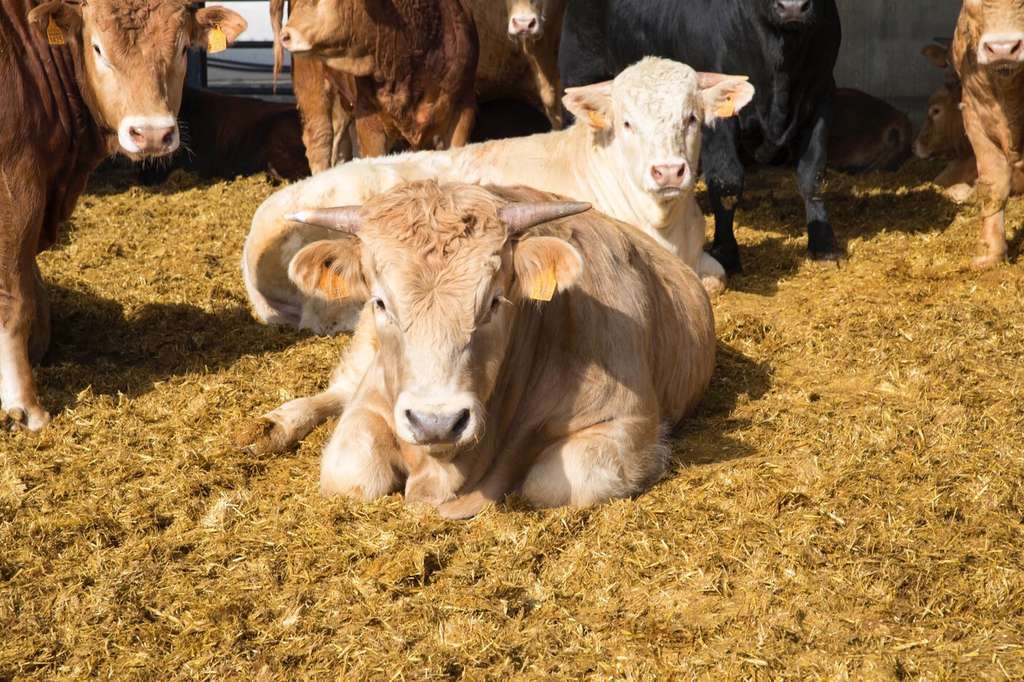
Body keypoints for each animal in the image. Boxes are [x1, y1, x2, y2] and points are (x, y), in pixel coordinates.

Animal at [0, 0, 245, 432]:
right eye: (97, 48)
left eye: (183, 47)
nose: (151, 133)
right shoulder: (17, 181)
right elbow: (16, 299)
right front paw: (24, 406)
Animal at [236, 180, 716, 519]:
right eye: (380, 302)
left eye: (494, 302)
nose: (436, 422)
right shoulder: (372, 400)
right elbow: (349, 472)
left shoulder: (630, 423)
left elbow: (550, 483)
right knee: (335, 392)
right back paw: (270, 426)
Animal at [559, 0, 843, 274]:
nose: (792, 7)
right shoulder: (721, 123)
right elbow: (726, 182)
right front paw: (727, 253)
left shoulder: (821, 97)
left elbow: (813, 176)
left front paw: (824, 244)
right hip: (580, 75)